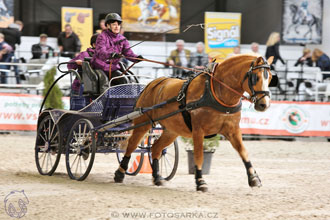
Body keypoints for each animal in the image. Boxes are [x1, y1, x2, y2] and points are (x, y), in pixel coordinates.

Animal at [113, 55, 276, 192]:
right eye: (256, 77)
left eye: (270, 77)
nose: (264, 104)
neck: (215, 92)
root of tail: (151, 84)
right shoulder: (198, 130)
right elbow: (198, 155)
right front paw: (200, 181)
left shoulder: (232, 130)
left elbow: (243, 152)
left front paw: (254, 178)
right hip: (143, 122)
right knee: (132, 144)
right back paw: (120, 173)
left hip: (172, 130)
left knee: (156, 148)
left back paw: (157, 177)